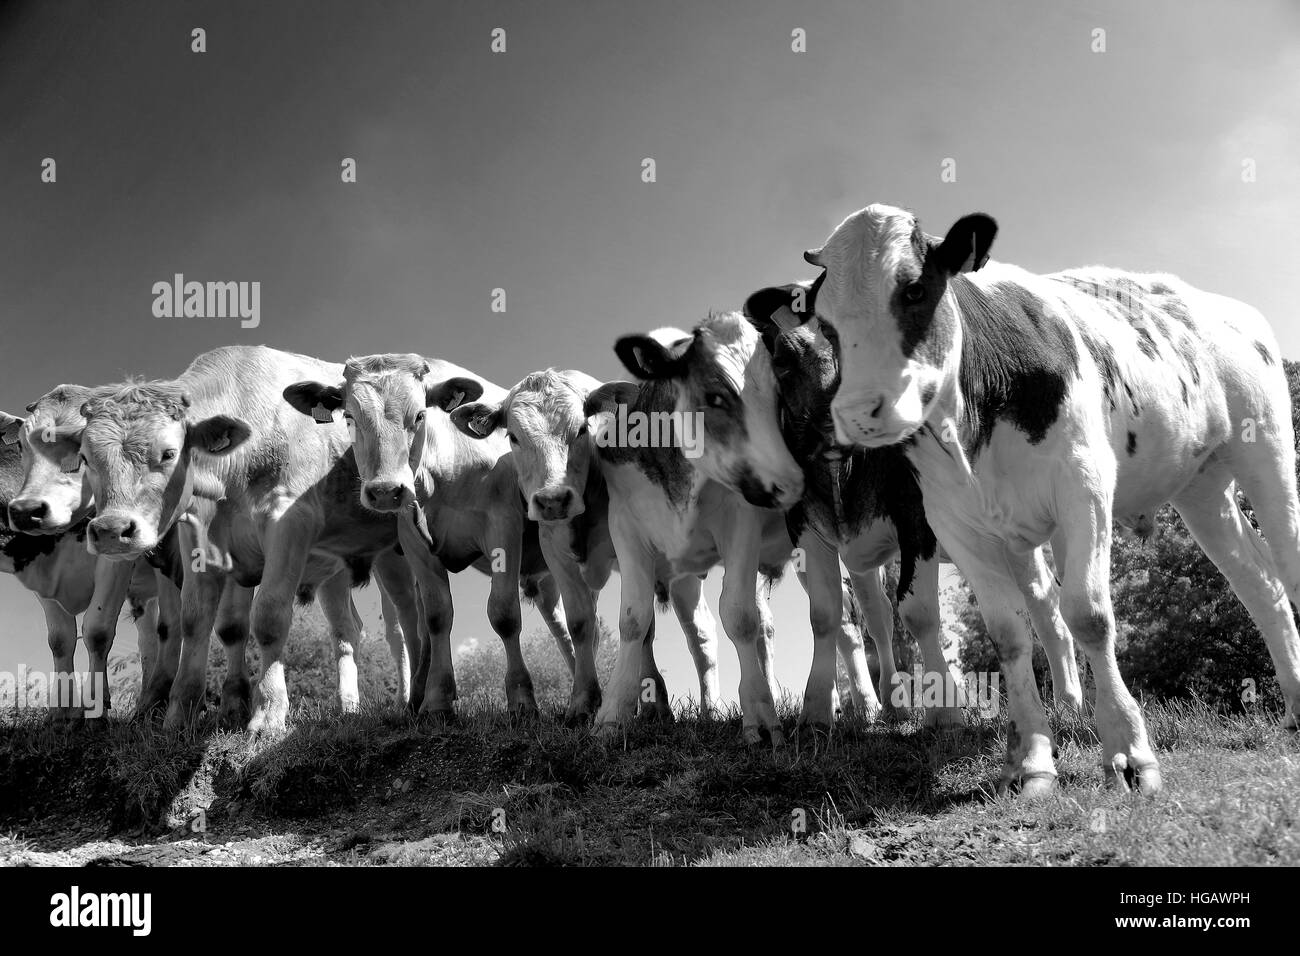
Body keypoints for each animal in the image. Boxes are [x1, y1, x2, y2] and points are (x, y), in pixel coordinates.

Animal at [74, 346, 425, 733]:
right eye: (85, 458)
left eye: (168, 453)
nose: (111, 530)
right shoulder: (201, 538)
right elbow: (199, 621)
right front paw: (181, 714)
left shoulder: (290, 522)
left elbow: (269, 619)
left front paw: (268, 713)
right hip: (334, 570)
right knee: (347, 630)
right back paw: (347, 707)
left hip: (395, 554)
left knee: (403, 627)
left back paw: (407, 700)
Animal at [282, 353, 580, 721]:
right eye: (349, 418)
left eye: (420, 415)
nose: (385, 491)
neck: (443, 471)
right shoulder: (413, 543)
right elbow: (437, 616)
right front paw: (437, 700)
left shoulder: (503, 526)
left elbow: (504, 614)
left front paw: (521, 700)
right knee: (558, 622)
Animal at [444, 368, 723, 722]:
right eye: (514, 437)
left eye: (580, 429)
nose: (553, 499)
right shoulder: (556, 551)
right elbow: (581, 624)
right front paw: (584, 701)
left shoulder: (630, 546)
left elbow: (643, 627)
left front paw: (651, 703)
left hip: (685, 574)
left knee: (701, 632)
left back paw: (711, 709)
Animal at [744, 282, 1083, 727]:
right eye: (783, 359)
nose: (838, 426)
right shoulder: (805, 528)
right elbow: (828, 614)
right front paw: (817, 709)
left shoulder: (916, 517)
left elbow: (918, 612)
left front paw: (945, 711)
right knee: (876, 614)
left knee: (1044, 603)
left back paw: (1069, 701)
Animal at [800, 202, 1300, 795]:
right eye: (825, 322)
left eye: (915, 289)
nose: (858, 413)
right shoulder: (955, 525)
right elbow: (1009, 634)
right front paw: (1033, 761)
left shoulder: (1083, 488)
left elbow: (1088, 614)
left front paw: (1130, 753)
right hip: (1201, 488)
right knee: (1260, 586)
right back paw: (1294, 704)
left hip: (1266, 448)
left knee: (1287, 563)